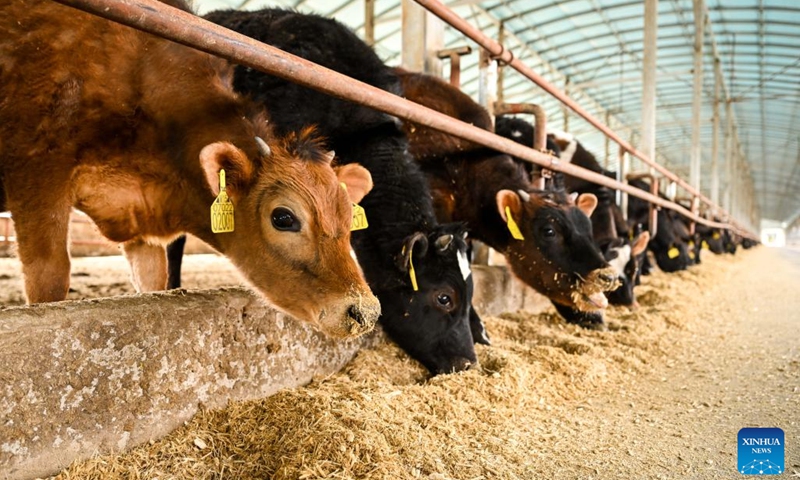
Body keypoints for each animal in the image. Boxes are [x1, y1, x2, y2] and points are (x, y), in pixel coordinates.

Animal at [0, 0, 382, 340]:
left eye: (348, 216)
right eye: (283, 218)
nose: (364, 311)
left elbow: (152, 281)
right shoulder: (38, 170)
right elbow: (49, 279)